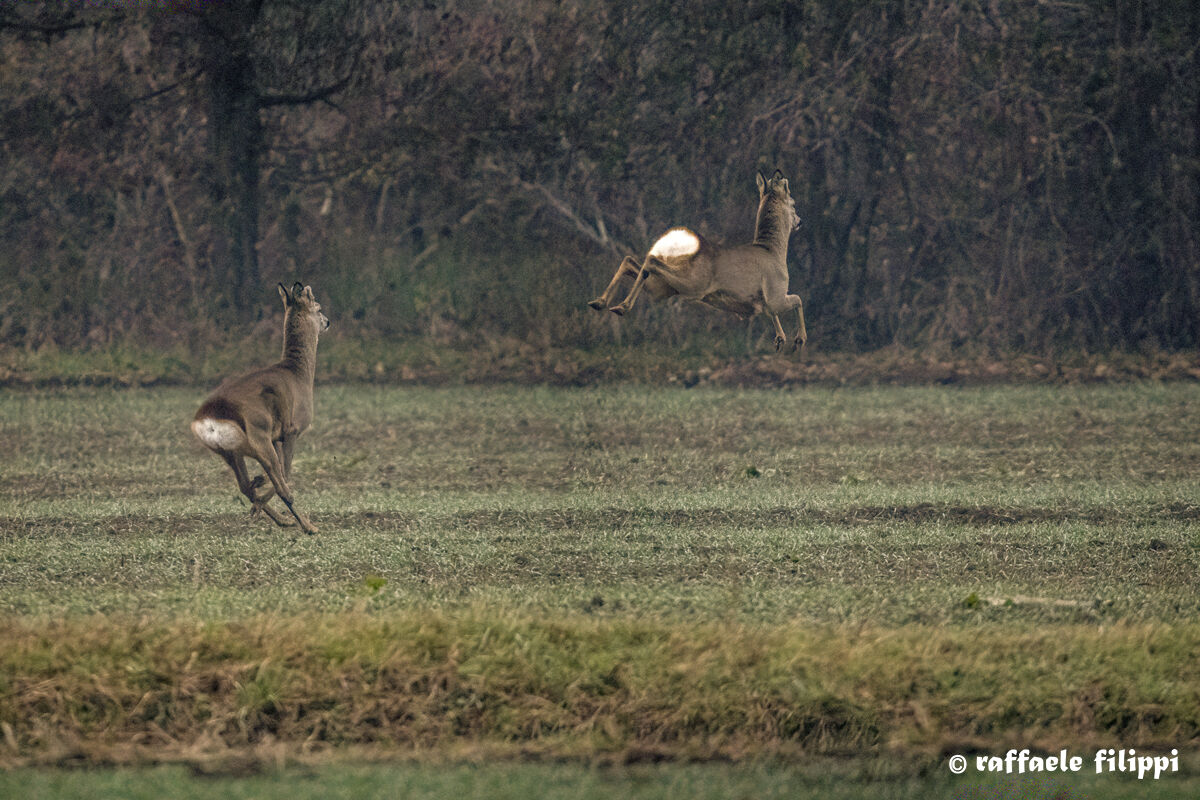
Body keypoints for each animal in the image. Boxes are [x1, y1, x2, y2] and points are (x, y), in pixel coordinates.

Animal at [191, 282, 329, 534]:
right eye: (317, 307)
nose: (327, 321)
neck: (299, 374)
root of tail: (209, 421)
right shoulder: (292, 430)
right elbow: (286, 472)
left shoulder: (276, 437)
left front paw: (259, 490)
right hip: (258, 437)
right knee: (282, 485)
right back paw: (307, 525)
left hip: (229, 451)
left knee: (245, 486)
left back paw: (278, 515)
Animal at [588, 169, 806, 353]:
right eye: (794, 203)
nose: (800, 221)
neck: (773, 250)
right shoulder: (776, 294)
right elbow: (797, 298)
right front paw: (799, 339)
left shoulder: (766, 303)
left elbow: (774, 313)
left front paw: (780, 339)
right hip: (694, 284)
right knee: (650, 261)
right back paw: (621, 306)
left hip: (663, 287)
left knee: (631, 261)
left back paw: (600, 302)